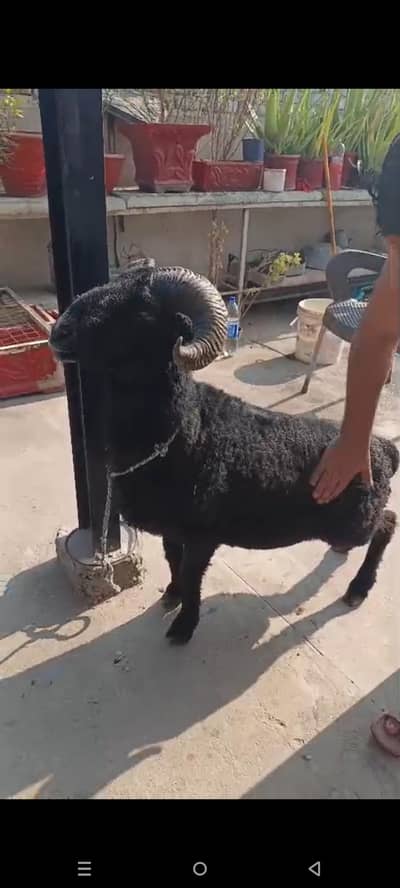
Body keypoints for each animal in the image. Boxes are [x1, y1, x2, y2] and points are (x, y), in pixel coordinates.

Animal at [50, 259, 398, 644]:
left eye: (141, 310)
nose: (60, 331)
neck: (187, 428)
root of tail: (381, 448)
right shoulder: (173, 530)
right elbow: (173, 562)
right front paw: (172, 594)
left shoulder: (202, 536)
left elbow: (192, 577)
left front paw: (183, 626)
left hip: (355, 521)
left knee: (387, 525)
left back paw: (358, 588)